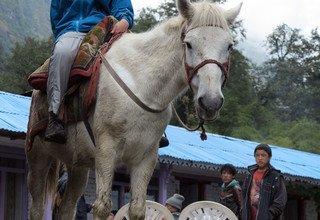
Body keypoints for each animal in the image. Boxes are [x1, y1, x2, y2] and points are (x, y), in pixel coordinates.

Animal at [26, 0, 240, 219]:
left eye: (229, 46)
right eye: (189, 44)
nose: (211, 102)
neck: (140, 83)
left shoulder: (146, 158)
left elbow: (137, 208)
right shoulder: (106, 150)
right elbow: (102, 206)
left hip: (77, 166)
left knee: (67, 208)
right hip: (38, 157)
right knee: (36, 207)